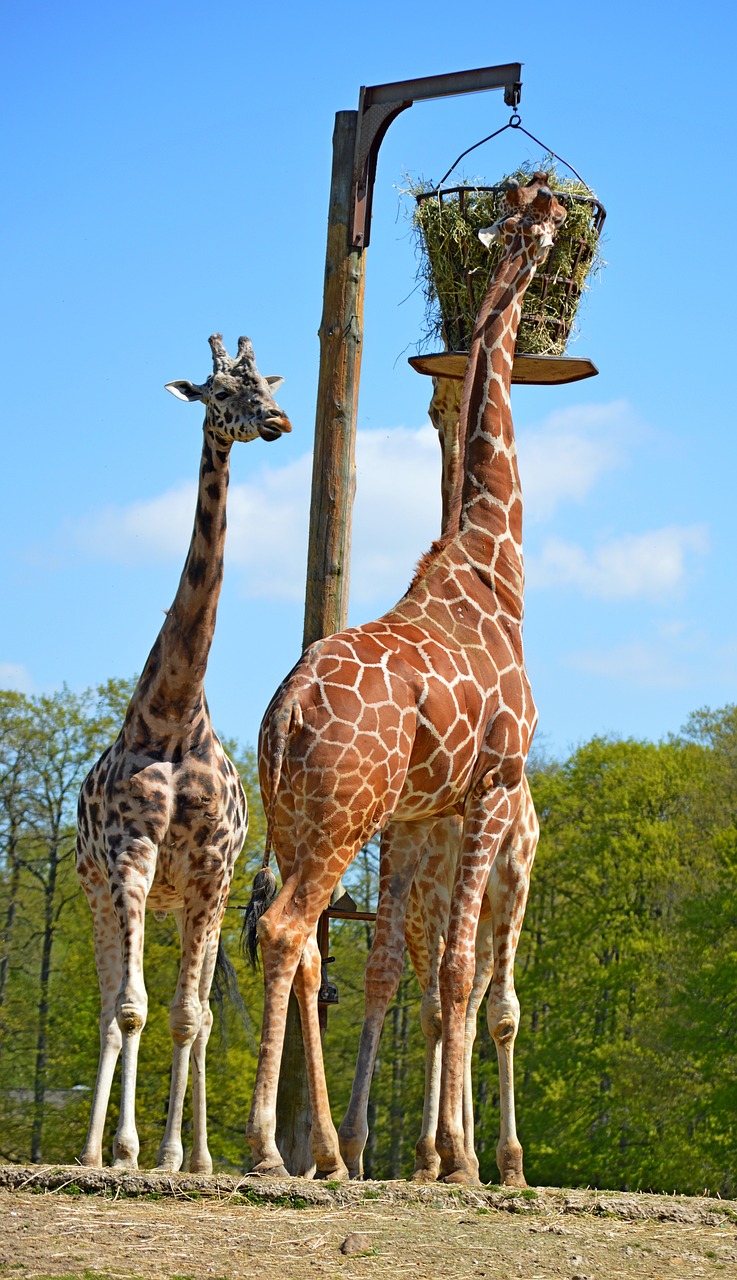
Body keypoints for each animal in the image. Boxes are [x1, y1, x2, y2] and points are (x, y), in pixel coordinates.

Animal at [74, 335, 291, 1172]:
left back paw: (193, 1155)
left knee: (194, 1010)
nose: (277, 421)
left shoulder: (208, 871)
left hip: (191, 901)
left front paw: (177, 1156)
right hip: (101, 893)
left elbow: (190, 1017)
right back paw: (95, 1151)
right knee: (111, 1006)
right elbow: (131, 1009)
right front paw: (127, 1149)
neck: (169, 714)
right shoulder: (128, 856)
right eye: (219, 390)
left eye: (267, 383)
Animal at [245, 175, 562, 1182]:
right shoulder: (491, 786)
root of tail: (285, 715)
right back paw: (268, 1148)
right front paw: (460, 1160)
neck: (494, 568)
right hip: (344, 815)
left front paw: (437, 1152)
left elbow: (424, 981)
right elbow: (458, 976)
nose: (556, 224)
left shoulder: (427, 814)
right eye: (537, 221)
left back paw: (323, 1151)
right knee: (286, 931)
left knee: (310, 948)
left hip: (298, 818)